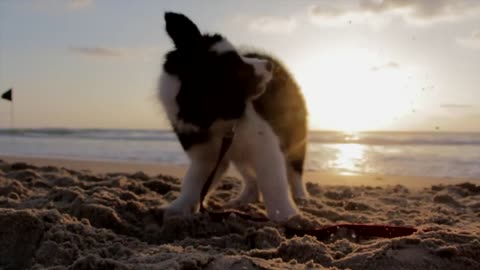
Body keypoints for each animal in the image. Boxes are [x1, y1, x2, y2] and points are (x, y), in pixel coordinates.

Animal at [158, 12, 308, 221]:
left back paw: (301, 197)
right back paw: (244, 199)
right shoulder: (207, 155)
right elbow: (192, 182)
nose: (268, 65)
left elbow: (274, 183)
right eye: (240, 70)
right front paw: (177, 208)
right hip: (240, 155)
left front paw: (286, 215)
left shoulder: (265, 146)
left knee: (294, 170)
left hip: (293, 133)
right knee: (251, 177)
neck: (219, 120)